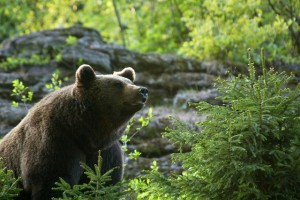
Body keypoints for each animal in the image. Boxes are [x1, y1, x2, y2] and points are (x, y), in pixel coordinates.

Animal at [0, 65, 148, 199]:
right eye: (117, 84)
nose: (143, 90)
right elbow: (52, 181)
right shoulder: (56, 140)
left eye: (130, 82)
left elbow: (105, 182)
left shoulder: (105, 152)